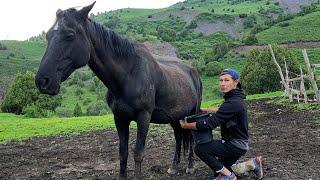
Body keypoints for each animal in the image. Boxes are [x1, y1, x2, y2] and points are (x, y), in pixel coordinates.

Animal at [35, 2, 202, 179]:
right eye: (48, 36)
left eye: (70, 35)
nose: (42, 81)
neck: (129, 75)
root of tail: (193, 71)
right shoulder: (119, 118)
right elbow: (123, 152)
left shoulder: (144, 117)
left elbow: (138, 153)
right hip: (175, 118)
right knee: (178, 137)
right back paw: (174, 166)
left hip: (192, 113)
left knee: (192, 138)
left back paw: (190, 166)